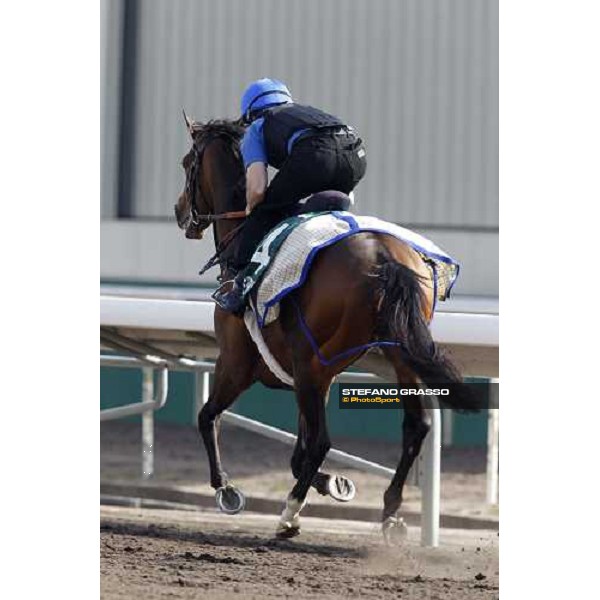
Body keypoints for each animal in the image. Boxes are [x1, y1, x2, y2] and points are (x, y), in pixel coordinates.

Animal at [175, 115, 478, 540]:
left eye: (187, 163)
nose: (178, 211)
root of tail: (384, 256)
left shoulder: (237, 362)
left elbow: (208, 418)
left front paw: (227, 489)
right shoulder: (319, 377)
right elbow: (296, 450)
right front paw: (335, 483)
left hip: (311, 363)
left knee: (322, 441)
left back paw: (288, 514)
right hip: (398, 352)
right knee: (415, 426)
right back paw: (390, 513)